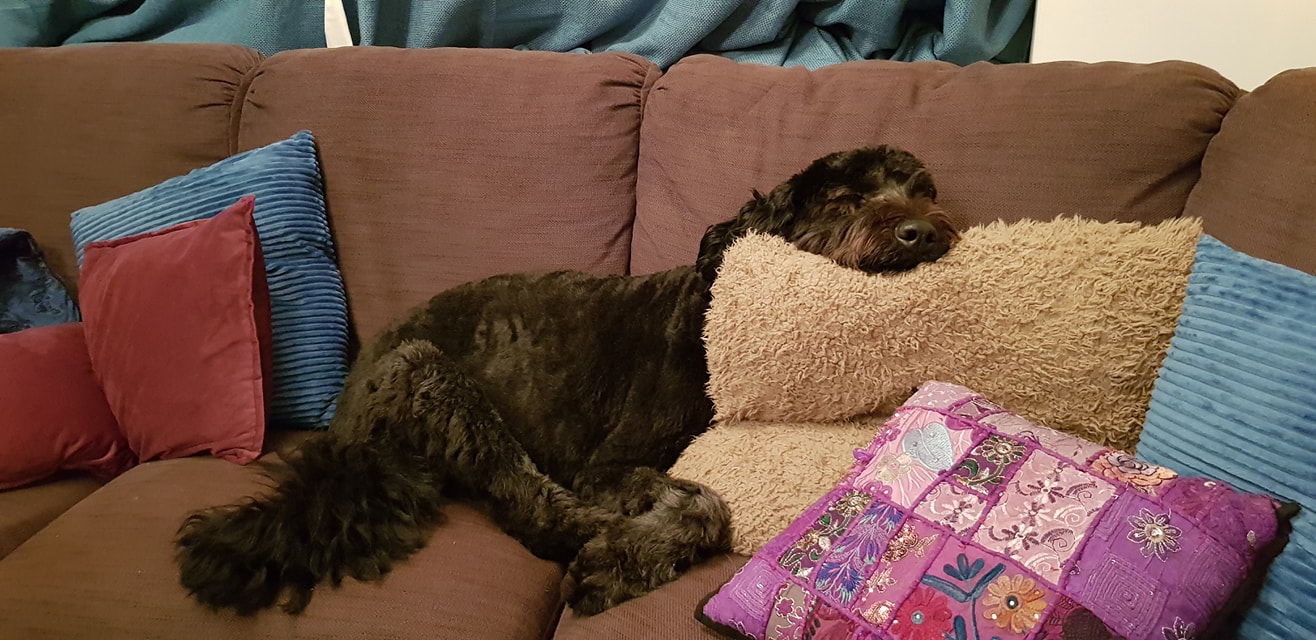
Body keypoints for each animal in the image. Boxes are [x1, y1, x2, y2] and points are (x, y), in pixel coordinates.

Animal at [172, 143, 958, 616]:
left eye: (924, 193)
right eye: (845, 201)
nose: (924, 231)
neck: (711, 314)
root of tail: (345, 433)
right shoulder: (608, 464)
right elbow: (706, 506)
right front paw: (628, 557)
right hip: (429, 374)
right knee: (529, 501)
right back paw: (599, 546)